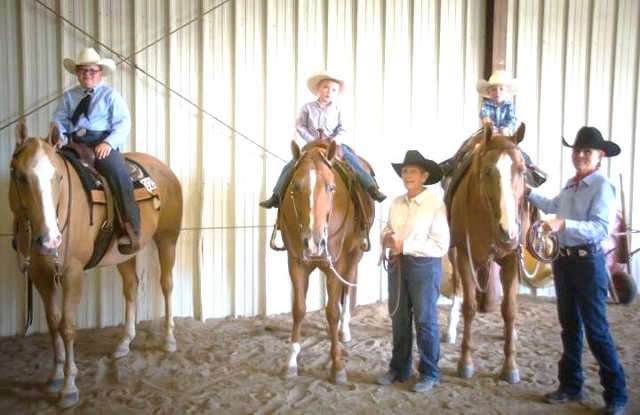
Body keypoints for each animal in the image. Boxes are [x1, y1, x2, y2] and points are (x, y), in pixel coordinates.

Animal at [9, 124, 182, 410]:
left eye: (58, 177)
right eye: (20, 176)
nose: (50, 240)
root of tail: (165, 169)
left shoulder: (72, 273)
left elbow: (67, 327)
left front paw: (69, 386)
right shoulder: (42, 275)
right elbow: (53, 322)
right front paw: (55, 376)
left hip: (167, 238)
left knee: (167, 285)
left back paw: (169, 340)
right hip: (124, 254)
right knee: (131, 288)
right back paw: (124, 342)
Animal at [276, 139, 376, 384]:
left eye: (331, 187)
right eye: (295, 187)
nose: (313, 243)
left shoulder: (336, 264)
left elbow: (331, 312)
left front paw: (337, 365)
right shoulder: (296, 263)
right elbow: (299, 309)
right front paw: (291, 361)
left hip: (353, 255)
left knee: (347, 288)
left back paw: (345, 330)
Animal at [448, 123, 528, 384]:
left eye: (522, 170)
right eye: (486, 172)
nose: (508, 231)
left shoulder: (512, 258)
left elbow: (509, 310)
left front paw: (510, 366)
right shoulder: (465, 256)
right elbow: (470, 307)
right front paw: (465, 363)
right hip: (455, 253)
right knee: (457, 290)